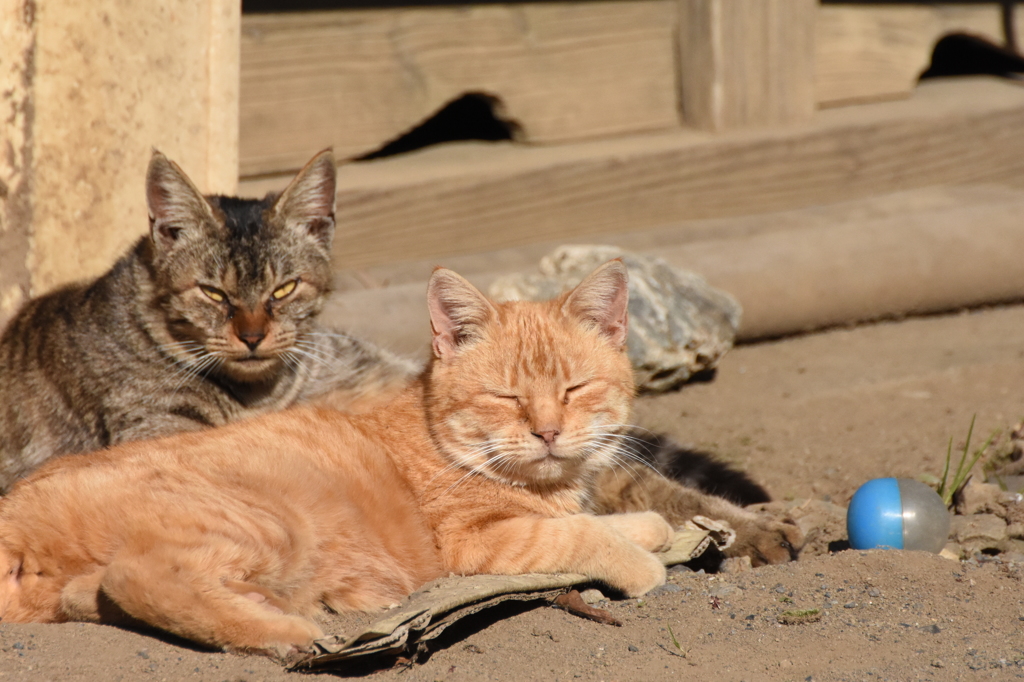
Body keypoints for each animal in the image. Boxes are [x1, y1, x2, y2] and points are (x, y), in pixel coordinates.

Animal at [0, 259, 671, 659]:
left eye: (575, 389)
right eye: (505, 397)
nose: (548, 431)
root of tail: (16, 508)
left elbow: (594, 520)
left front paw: (649, 528)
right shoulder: (475, 544)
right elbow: (575, 534)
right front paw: (638, 562)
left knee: (88, 594)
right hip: (263, 521)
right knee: (138, 577)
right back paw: (288, 632)